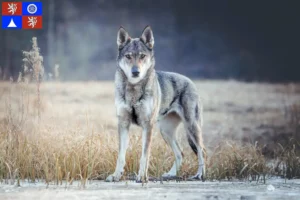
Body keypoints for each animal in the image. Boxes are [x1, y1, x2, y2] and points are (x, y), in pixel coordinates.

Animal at [106, 25, 206, 182]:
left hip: (191, 127)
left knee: (202, 151)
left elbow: (144, 156)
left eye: (142, 56)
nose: (135, 72)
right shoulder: (123, 123)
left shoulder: (148, 126)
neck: (134, 89)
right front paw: (116, 176)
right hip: (165, 131)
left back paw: (200, 175)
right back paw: (171, 174)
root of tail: (190, 81)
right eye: (128, 56)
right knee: (180, 153)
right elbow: (121, 156)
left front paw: (142, 177)